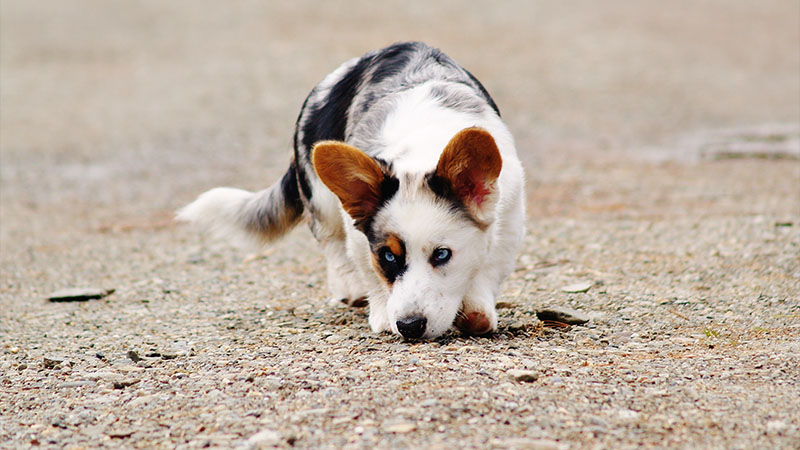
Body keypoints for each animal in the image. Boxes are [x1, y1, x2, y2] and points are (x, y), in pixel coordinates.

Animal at [177, 42, 524, 340]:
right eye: (387, 256)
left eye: (442, 254)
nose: (409, 327)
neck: (422, 148)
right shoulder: (358, 236)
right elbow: (370, 274)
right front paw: (382, 315)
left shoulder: (508, 221)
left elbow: (487, 269)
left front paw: (477, 311)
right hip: (321, 199)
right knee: (331, 244)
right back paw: (350, 290)